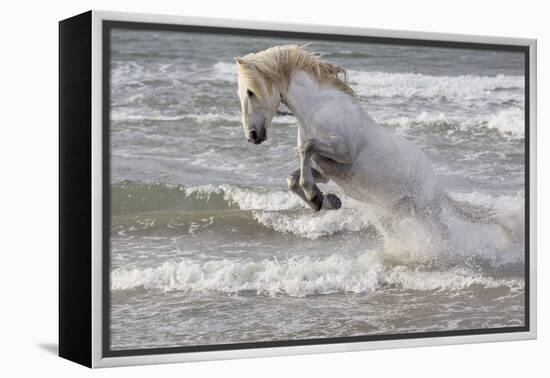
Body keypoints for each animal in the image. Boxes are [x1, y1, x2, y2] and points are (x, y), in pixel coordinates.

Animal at [235, 45, 460, 221]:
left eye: (251, 92)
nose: (252, 136)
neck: (319, 109)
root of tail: (433, 180)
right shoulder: (324, 170)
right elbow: (292, 179)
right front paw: (327, 201)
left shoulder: (343, 151)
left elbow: (306, 146)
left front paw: (314, 196)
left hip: (425, 210)